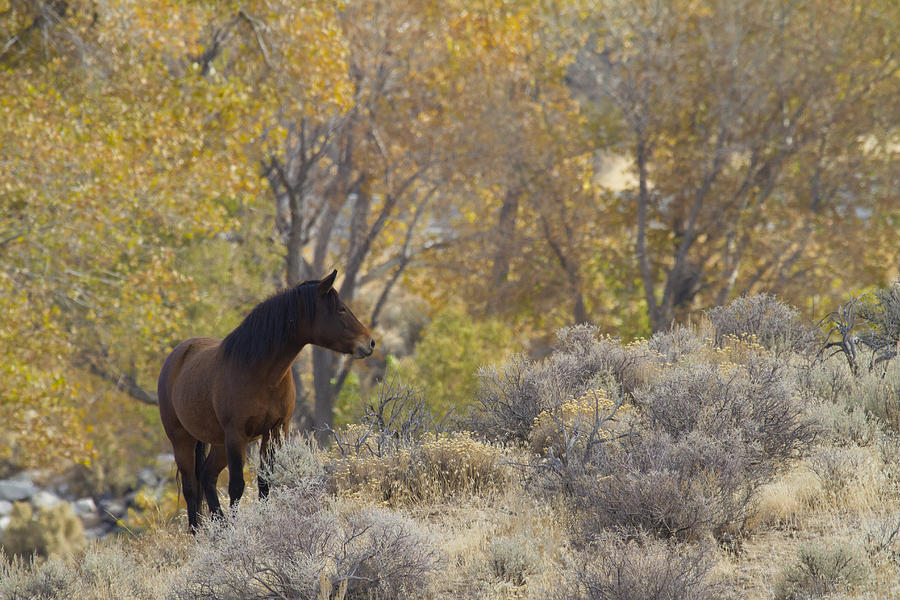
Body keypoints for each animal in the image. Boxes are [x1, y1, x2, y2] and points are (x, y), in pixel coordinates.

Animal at [157, 270, 374, 531]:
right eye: (341, 309)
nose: (369, 343)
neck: (260, 371)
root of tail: (177, 355)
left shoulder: (275, 430)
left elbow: (264, 481)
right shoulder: (236, 435)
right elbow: (237, 486)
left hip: (218, 442)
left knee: (207, 477)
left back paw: (218, 527)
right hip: (182, 440)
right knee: (191, 488)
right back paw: (199, 533)